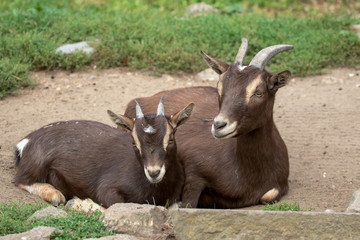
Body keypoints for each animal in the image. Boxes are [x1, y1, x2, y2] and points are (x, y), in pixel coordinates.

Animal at [14, 98, 194, 207]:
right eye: (134, 142)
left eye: (170, 139)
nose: (154, 172)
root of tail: (26, 141)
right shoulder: (107, 188)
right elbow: (115, 203)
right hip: (37, 162)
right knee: (21, 180)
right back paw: (54, 195)